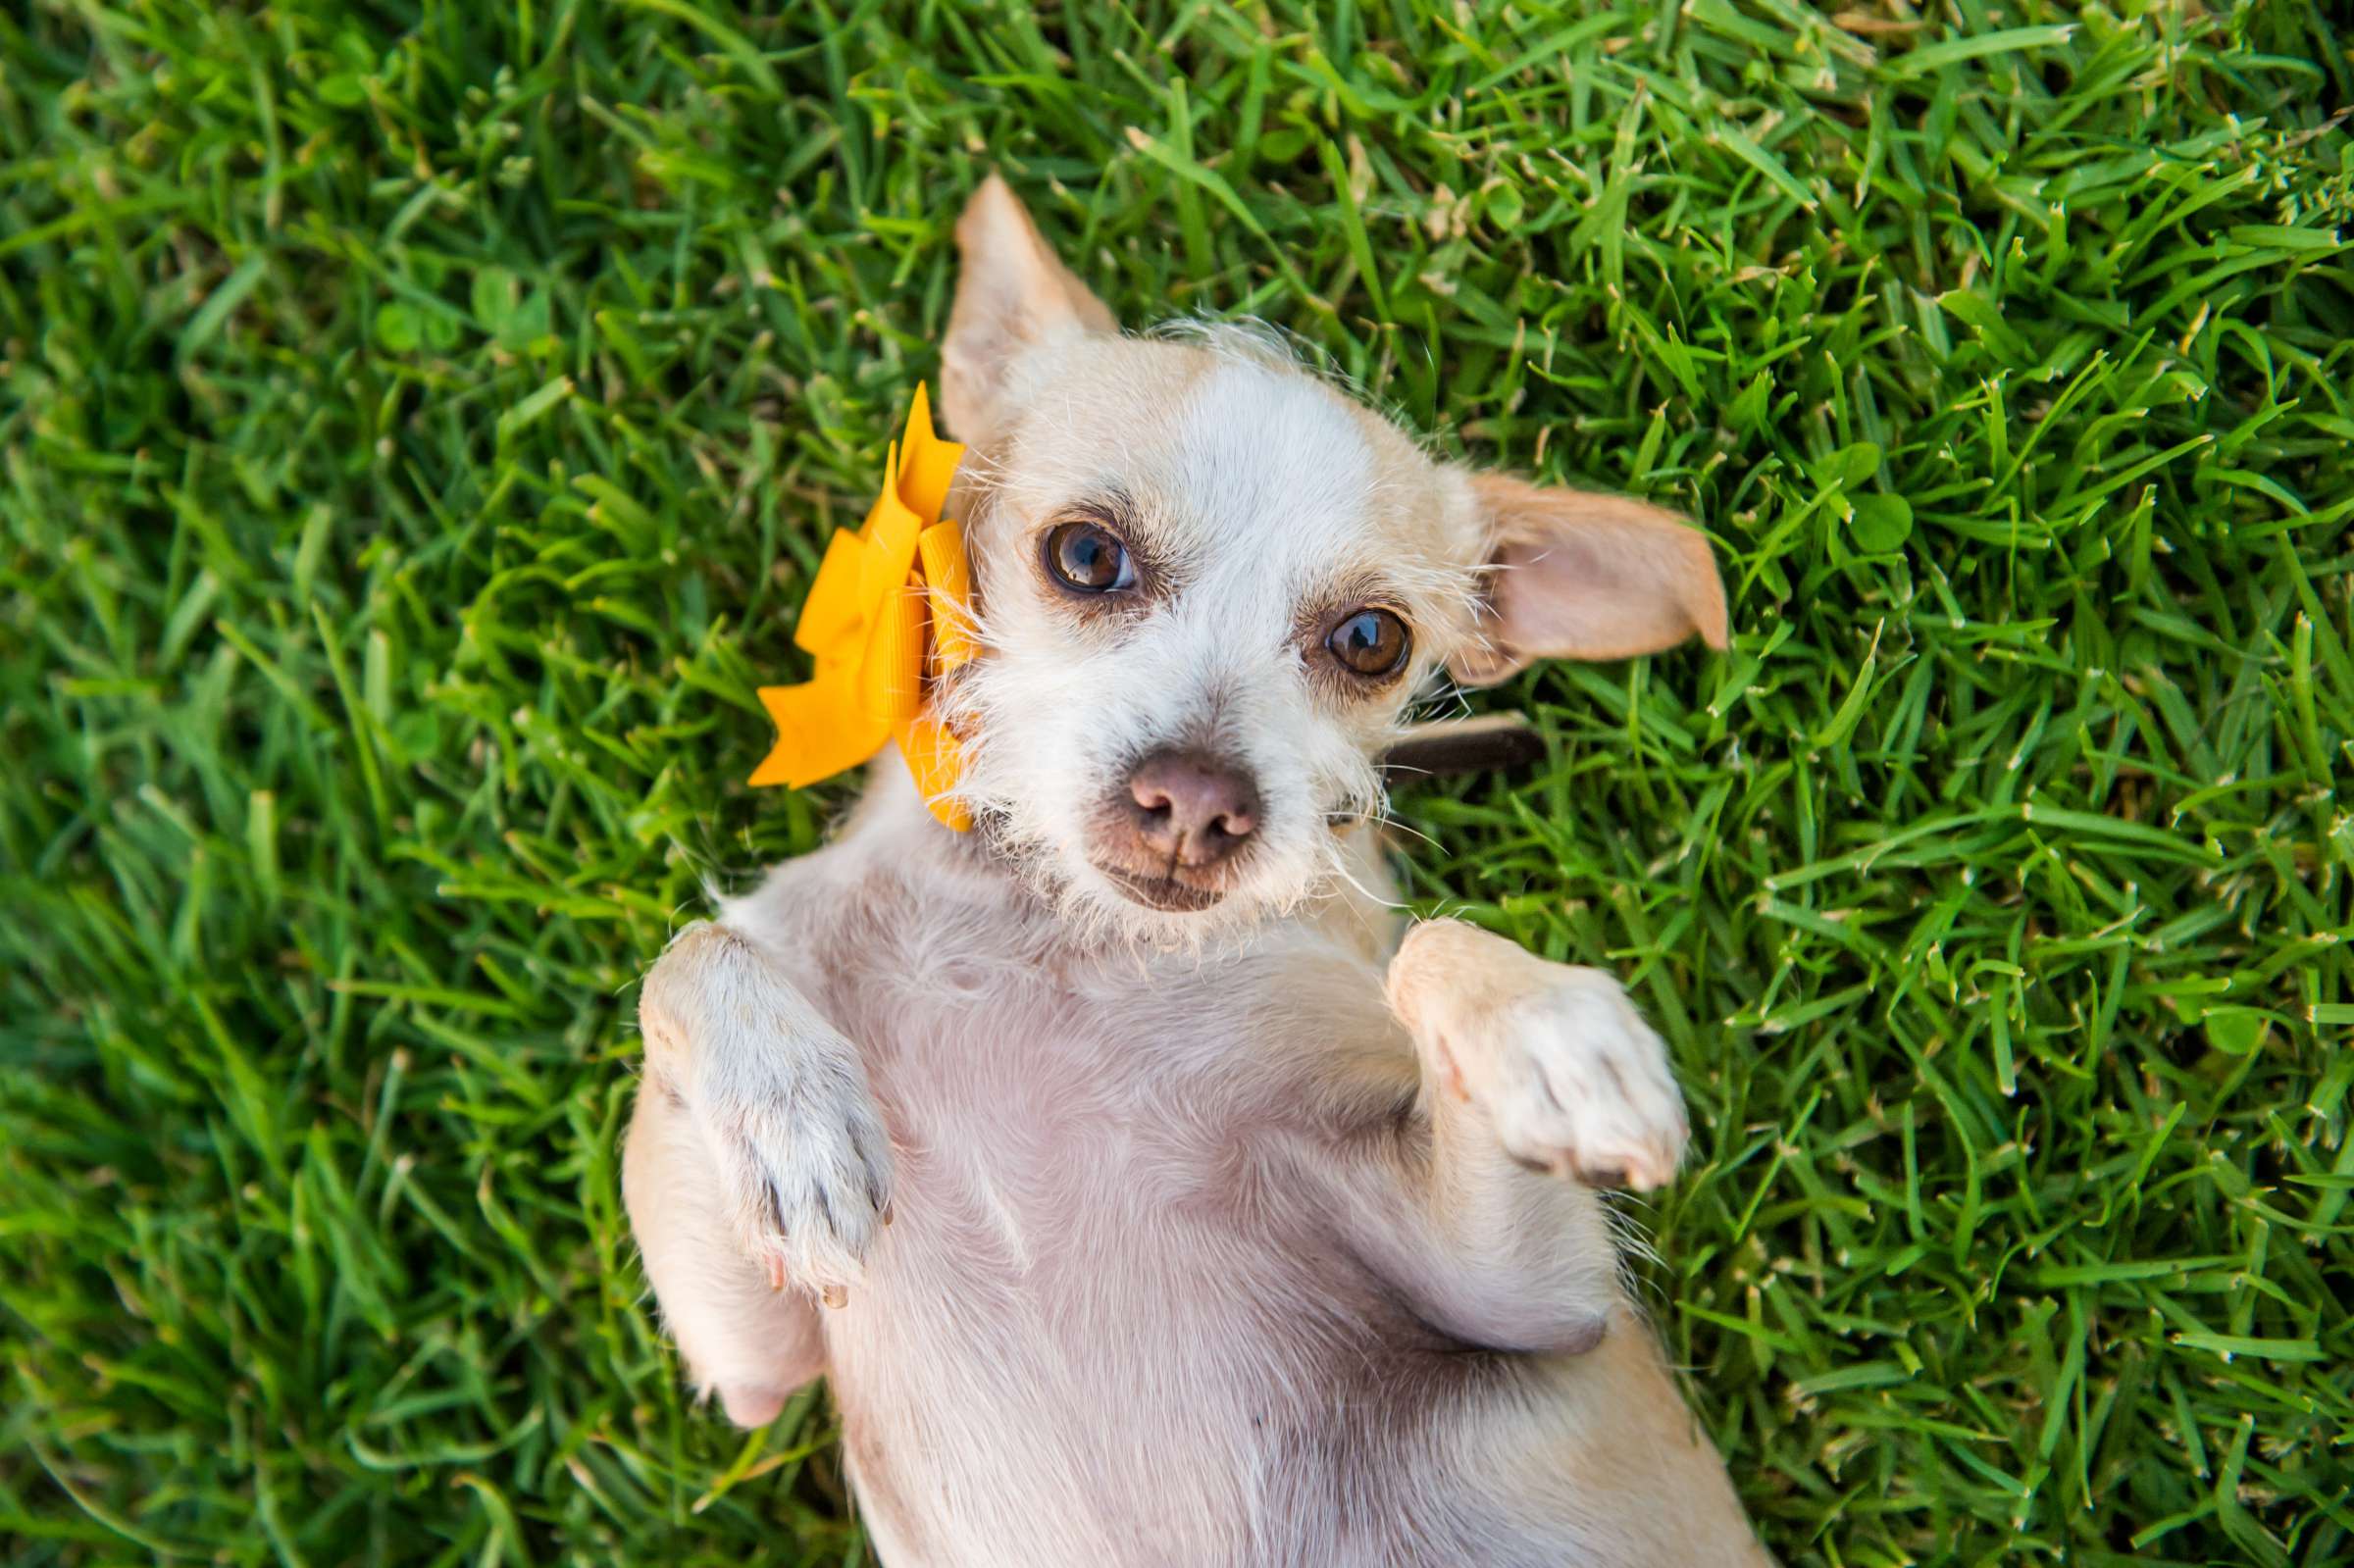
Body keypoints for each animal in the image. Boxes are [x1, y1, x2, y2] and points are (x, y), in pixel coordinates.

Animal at [626, 174, 1769, 1563]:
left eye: (1373, 640)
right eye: (1084, 557)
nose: (1199, 804)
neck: (1052, 933)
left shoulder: (1528, 1299)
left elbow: (1440, 947)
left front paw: (1552, 1034)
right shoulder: (747, 1357)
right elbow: (691, 955)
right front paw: (787, 1112)